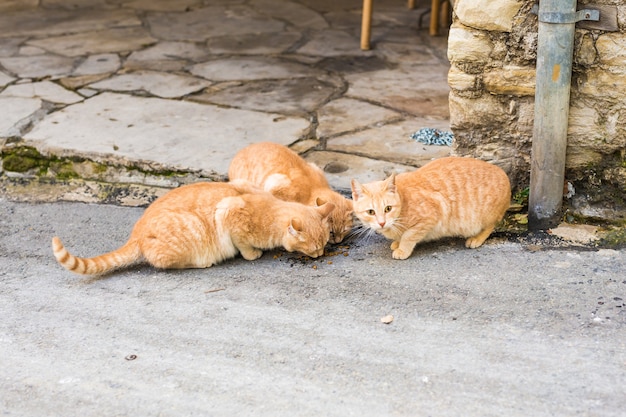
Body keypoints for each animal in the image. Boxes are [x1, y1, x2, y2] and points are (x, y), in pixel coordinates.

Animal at [52, 180, 336, 274]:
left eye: (324, 244)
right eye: (314, 247)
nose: (321, 254)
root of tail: (136, 235)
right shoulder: (228, 213)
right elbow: (243, 243)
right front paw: (252, 253)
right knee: (164, 263)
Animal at [348, 156, 510, 258]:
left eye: (388, 208)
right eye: (371, 212)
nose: (382, 223)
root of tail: (503, 173)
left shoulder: (430, 217)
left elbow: (408, 235)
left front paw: (402, 248)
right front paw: (397, 242)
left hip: (484, 217)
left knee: (490, 226)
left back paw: (477, 238)